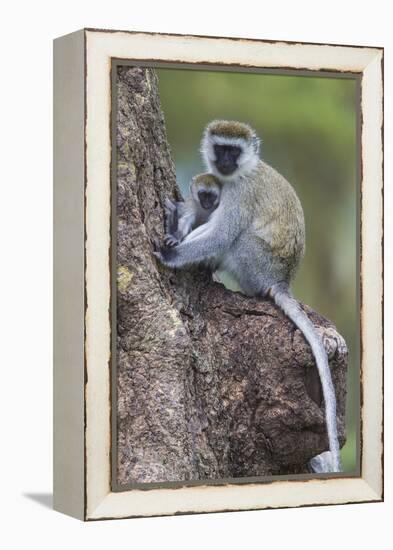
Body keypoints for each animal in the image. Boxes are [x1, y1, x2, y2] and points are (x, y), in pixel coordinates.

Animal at [155, 121, 340, 474]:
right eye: (221, 148)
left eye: (234, 150)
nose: (225, 162)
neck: (241, 173)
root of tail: (280, 281)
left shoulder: (238, 194)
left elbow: (222, 234)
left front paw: (172, 254)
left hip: (255, 262)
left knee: (237, 239)